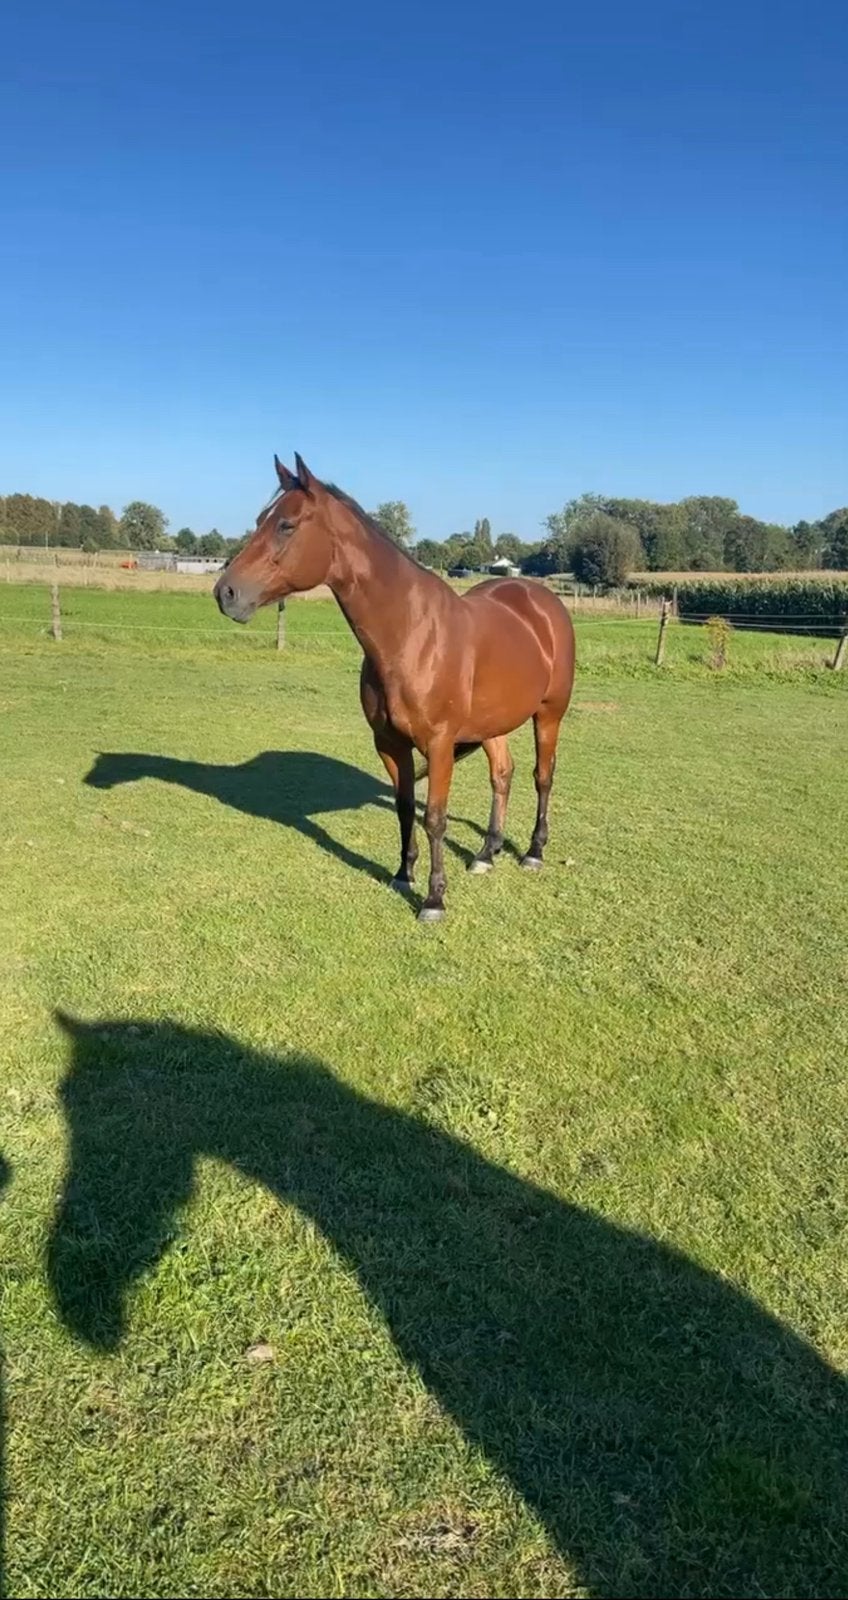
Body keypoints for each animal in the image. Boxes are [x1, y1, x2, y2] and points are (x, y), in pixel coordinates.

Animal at [215, 454, 575, 922]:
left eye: (287, 525)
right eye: (261, 520)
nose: (226, 593)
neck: (409, 634)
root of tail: (542, 601)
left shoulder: (439, 745)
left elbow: (435, 816)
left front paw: (434, 899)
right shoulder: (389, 743)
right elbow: (405, 808)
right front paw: (403, 874)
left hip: (548, 714)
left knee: (542, 777)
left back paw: (533, 851)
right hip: (491, 724)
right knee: (502, 774)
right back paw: (486, 854)